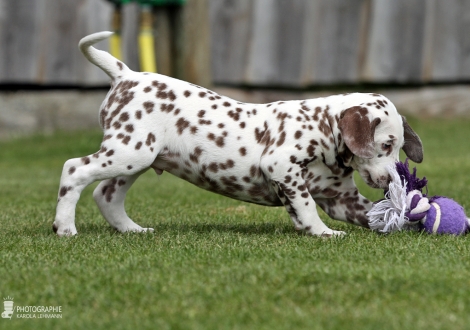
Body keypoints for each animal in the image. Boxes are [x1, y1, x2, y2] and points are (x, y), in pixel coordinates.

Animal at [53, 31, 424, 237]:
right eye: (385, 145)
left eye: (399, 150)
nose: (392, 178)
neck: (322, 128)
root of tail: (126, 75)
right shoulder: (282, 167)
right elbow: (305, 206)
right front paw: (321, 232)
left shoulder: (341, 198)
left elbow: (376, 215)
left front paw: (415, 222)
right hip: (129, 152)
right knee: (74, 169)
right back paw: (65, 228)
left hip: (136, 160)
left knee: (106, 194)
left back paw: (133, 230)